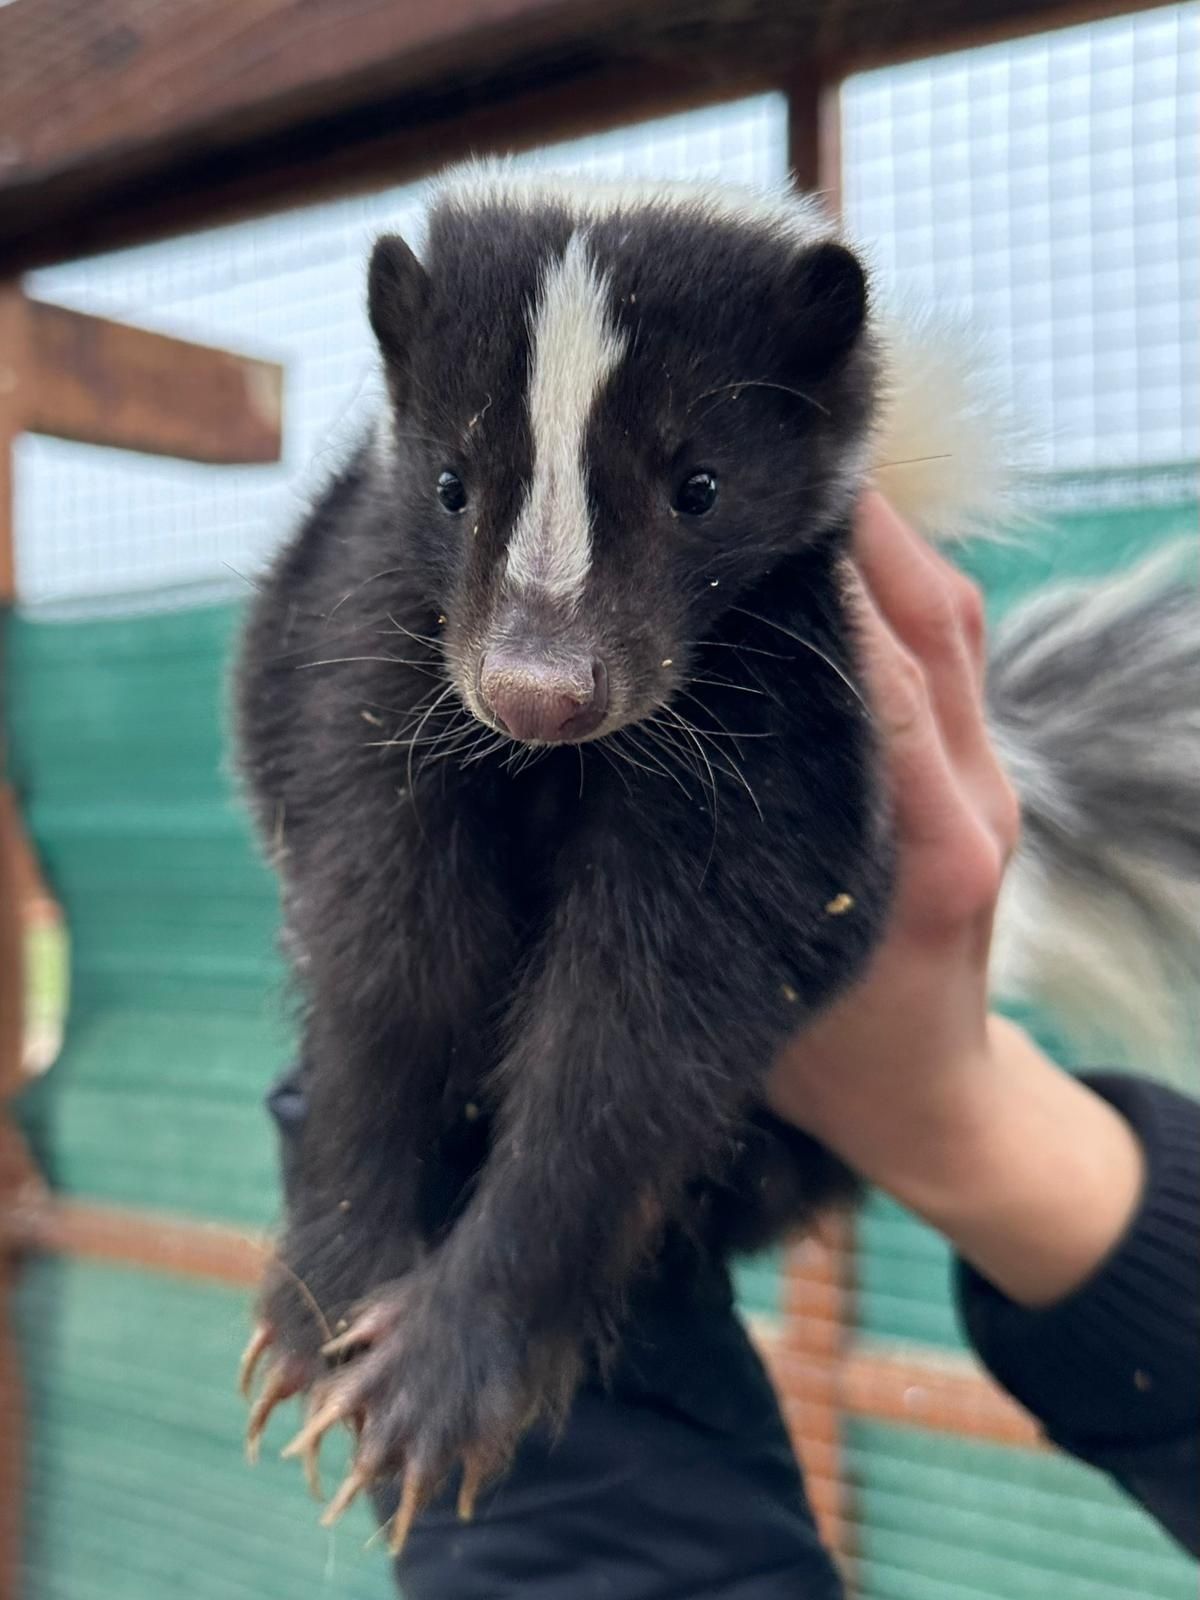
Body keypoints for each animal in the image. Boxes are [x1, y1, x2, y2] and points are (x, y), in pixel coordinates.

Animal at [236, 172, 1200, 1548]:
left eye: (699, 485)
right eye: (451, 485)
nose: (538, 690)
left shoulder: (786, 689)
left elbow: (649, 1019)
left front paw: (445, 1374)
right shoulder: (371, 634)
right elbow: (387, 949)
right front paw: (323, 1299)